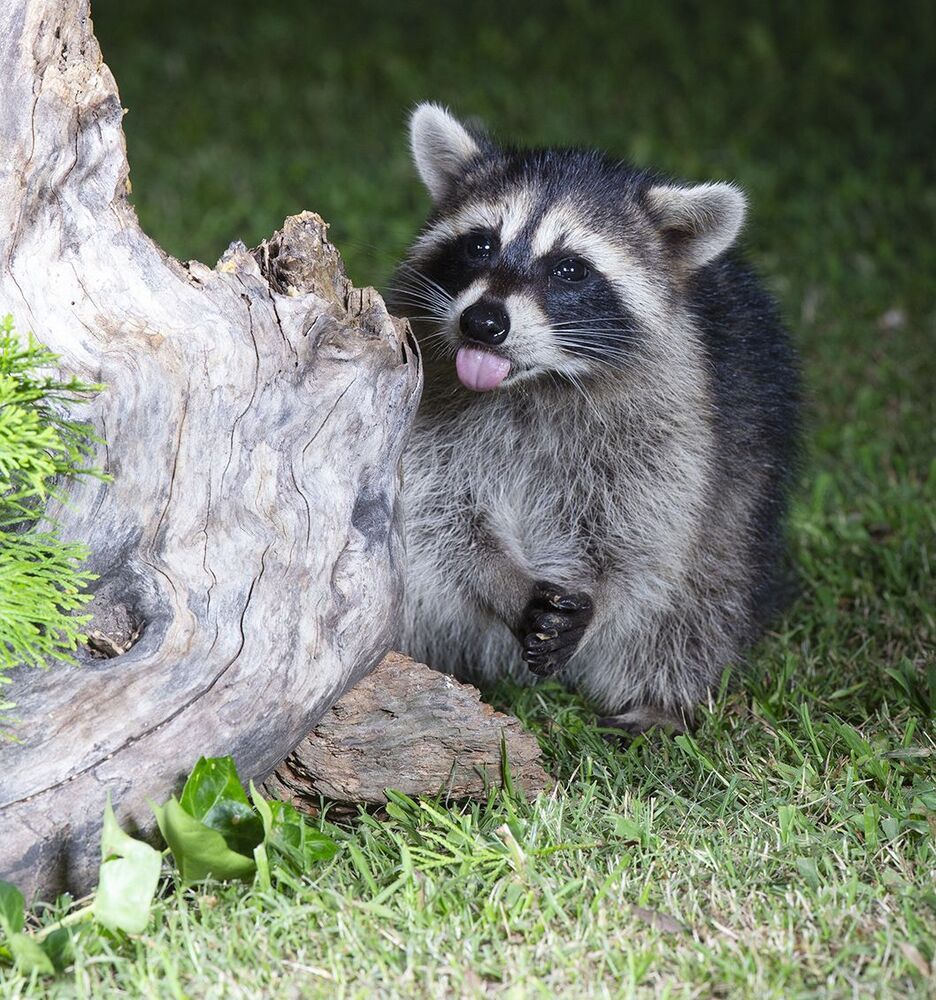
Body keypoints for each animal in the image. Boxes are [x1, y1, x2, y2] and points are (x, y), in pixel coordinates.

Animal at [388, 103, 799, 733]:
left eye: (570, 270)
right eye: (480, 245)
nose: (483, 323)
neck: (532, 385)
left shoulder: (672, 418)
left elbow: (638, 538)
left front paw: (600, 597)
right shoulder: (425, 399)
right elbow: (439, 514)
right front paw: (505, 583)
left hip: (742, 498)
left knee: (701, 599)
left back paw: (662, 700)